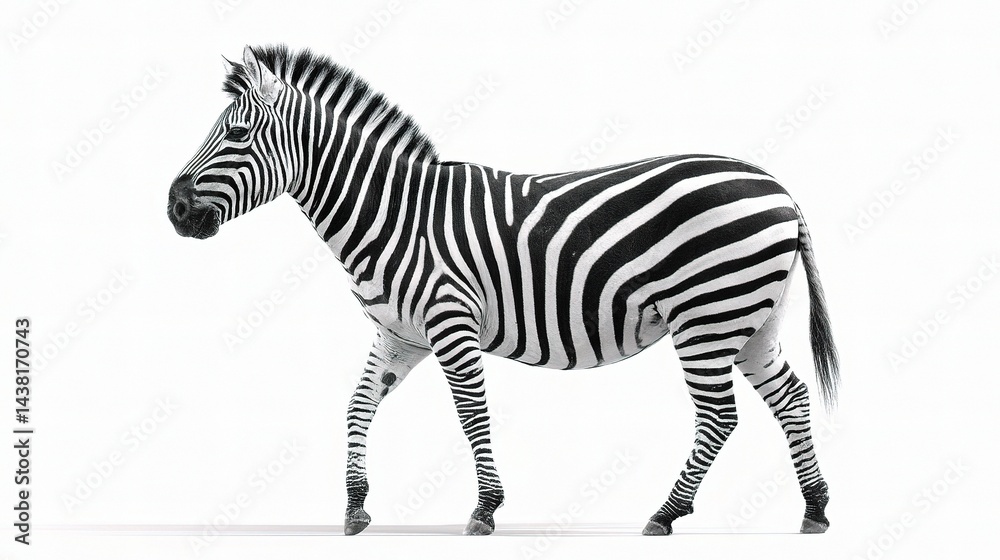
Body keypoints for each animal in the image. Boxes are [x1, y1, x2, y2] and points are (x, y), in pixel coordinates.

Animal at [168, 45, 840, 536]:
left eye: (238, 135)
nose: (172, 209)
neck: (393, 214)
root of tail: (780, 187)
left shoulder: (450, 322)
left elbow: (472, 416)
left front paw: (486, 509)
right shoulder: (399, 337)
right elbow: (357, 406)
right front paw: (356, 506)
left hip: (707, 316)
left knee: (719, 414)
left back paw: (666, 513)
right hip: (752, 321)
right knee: (792, 398)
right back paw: (814, 508)